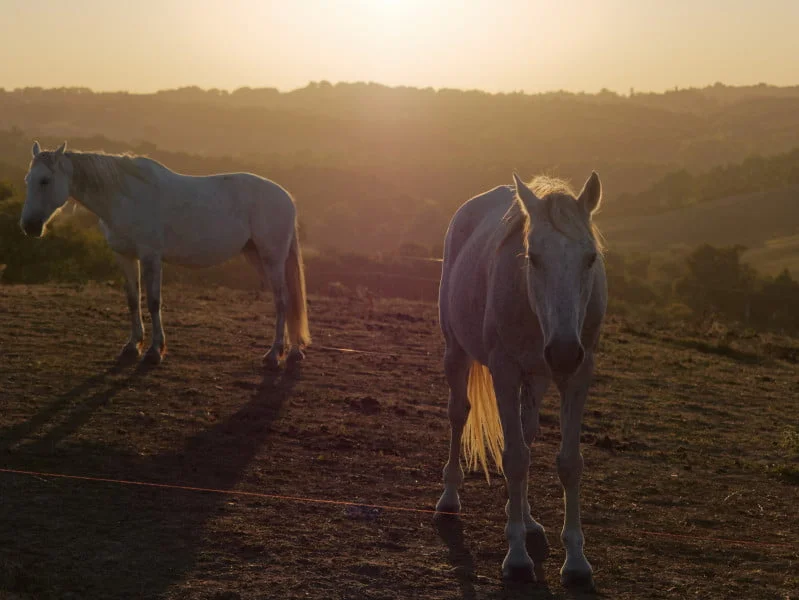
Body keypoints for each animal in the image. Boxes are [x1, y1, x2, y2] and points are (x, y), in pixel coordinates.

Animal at [20, 142, 310, 368]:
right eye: (27, 181)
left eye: (45, 181)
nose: (29, 226)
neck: (125, 197)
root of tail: (287, 197)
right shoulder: (125, 256)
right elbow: (132, 299)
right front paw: (132, 346)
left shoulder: (151, 257)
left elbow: (153, 302)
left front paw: (154, 351)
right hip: (257, 257)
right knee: (285, 300)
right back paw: (293, 351)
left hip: (272, 257)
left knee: (283, 301)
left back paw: (274, 354)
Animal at [435, 172, 606, 588]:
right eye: (533, 257)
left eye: (590, 258)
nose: (563, 350)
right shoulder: (505, 371)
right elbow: (513, 459)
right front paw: (516, 559)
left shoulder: (577, 375)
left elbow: (568, 462)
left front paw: (576, 562)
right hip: (456, 351)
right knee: (459, 415)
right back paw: (449, 498)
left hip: (538, 377)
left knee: (527, 434)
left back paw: (527, 520)